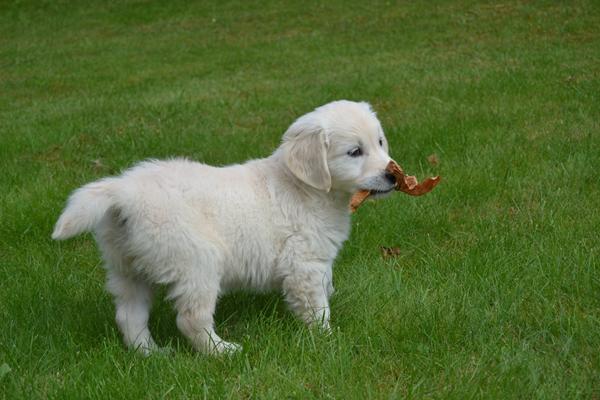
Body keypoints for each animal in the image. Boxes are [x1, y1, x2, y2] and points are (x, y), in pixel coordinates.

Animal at [51, 100, 394, 354]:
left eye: (379, 142)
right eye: (354, 152)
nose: (393, 175)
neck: (304, 186)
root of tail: (123, 192)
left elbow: (326, 284)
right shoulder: (304, 263)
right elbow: (316, 304)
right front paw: (326, 339)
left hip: (126, 267)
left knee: (128, 316)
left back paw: (151, 353)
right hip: (196, 262)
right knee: (191, 319)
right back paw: (222, 351)